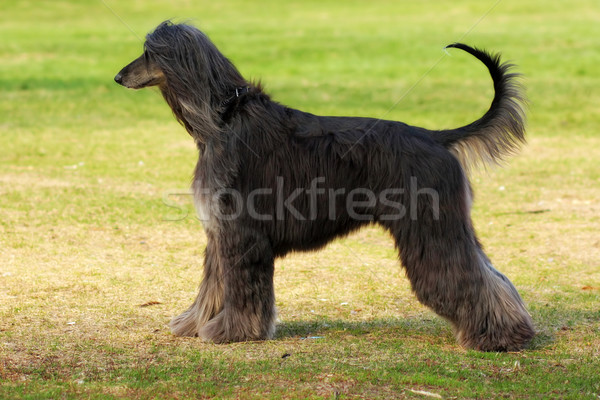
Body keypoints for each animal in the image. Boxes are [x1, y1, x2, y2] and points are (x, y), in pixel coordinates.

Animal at [116, 20, 536, 350]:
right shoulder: (220, 231)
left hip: (431, 228)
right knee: (492, 274)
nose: (118, 77)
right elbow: (213, 283)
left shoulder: (241, 231)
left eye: (149, 53)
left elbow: (239, 286)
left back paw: (496, 338)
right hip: (449, 224)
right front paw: (194, 323)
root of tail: (435, 137)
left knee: (466, 276)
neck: (223, 118)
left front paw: (231, 332)